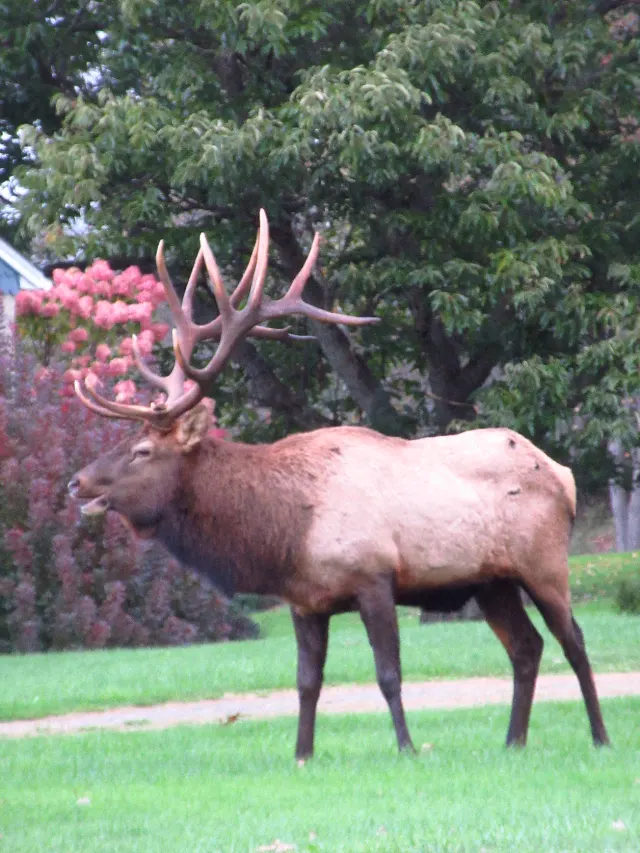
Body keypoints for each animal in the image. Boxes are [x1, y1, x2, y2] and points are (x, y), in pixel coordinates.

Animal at [68, 210, 610, 760]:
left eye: (142, 450)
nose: (76, 482)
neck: (284, 533)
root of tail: (563, 475)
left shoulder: (374, 577)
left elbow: (388, 675)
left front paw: (407, 748)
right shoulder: (305, 601)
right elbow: (307, 682)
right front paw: (302, 755)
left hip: (543, 561)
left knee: (574, 641)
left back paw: (599, 736)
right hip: (491, 580)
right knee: (527, 647)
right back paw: (513, 741)